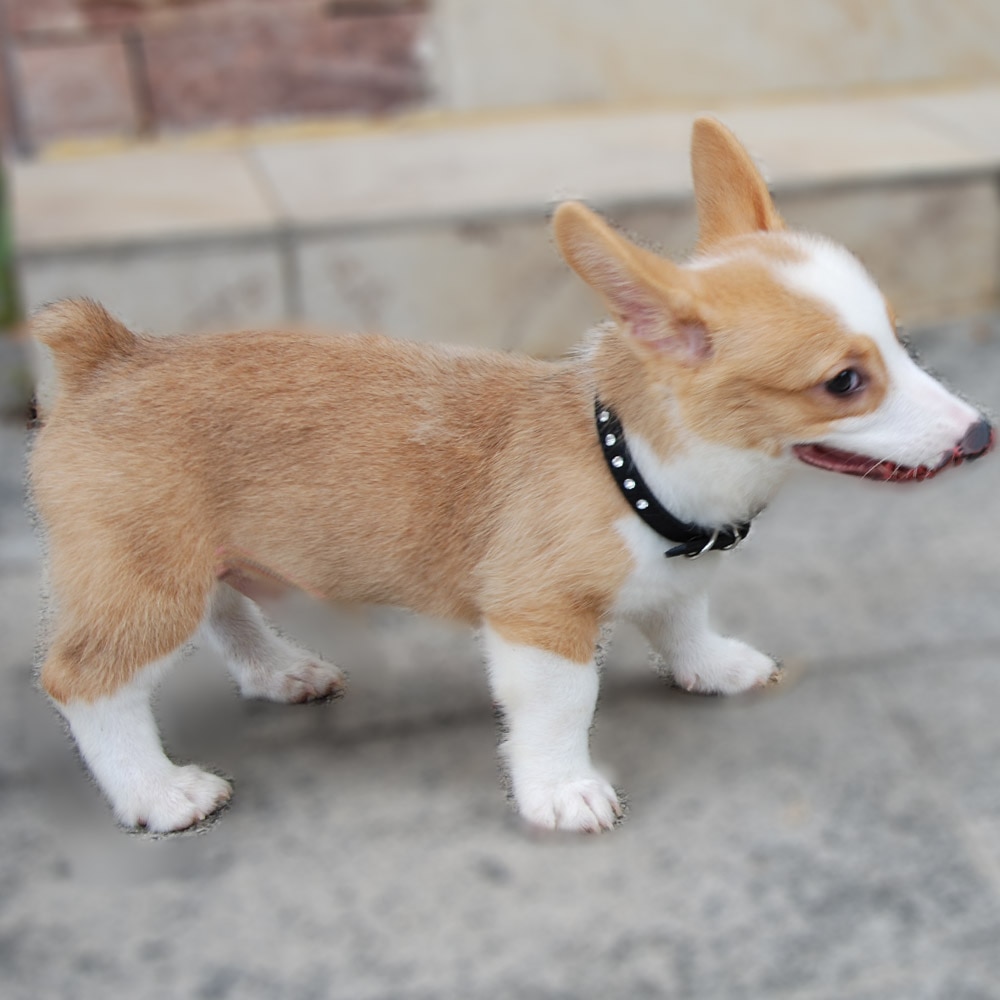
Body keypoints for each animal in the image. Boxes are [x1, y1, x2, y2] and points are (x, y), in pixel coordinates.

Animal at [29, 119, 992, 836]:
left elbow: (684, 619)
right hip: (147, 580)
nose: (980, 434)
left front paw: (712, 666)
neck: (631, 463)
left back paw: (277, 671)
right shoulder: (539, 619)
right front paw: (561, 790)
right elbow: (563, 709)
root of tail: (107, 353)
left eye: (901, 340)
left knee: (225, 607)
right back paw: (156, 792)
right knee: (87, 682)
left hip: (189, 558)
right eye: (845, 382)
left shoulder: (678, 577)